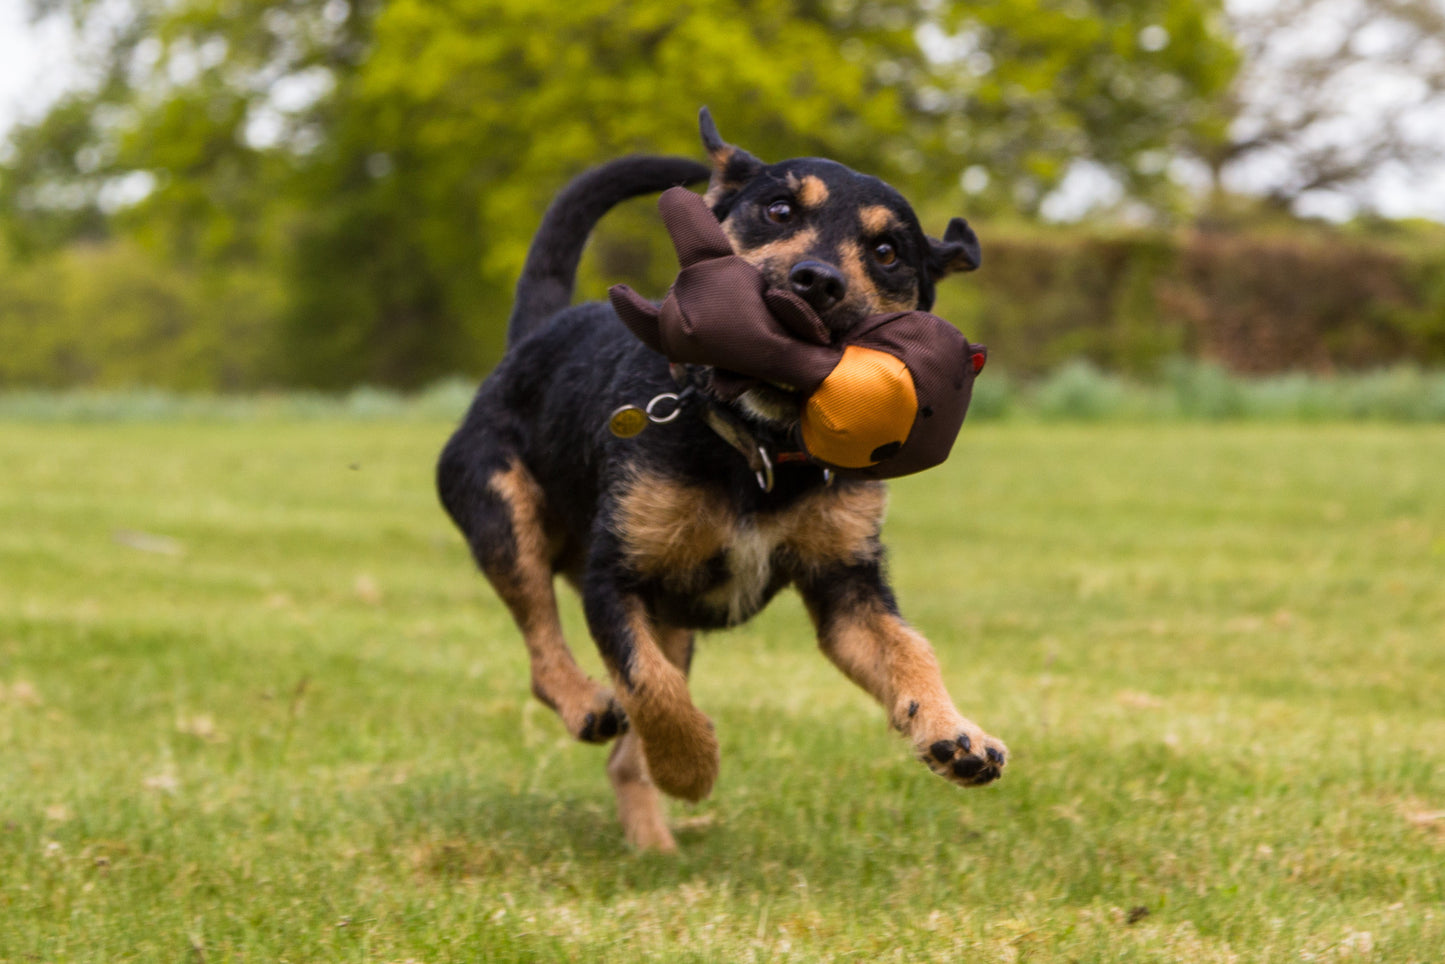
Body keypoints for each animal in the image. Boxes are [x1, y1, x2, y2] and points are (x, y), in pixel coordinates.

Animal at [433, 111, 1011, 849]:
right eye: (779, 209)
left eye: (886, 251)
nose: (816, 281)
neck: (757, 446)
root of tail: (531, 339)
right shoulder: (614, 577)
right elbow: (648, 685)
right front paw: (690, 767)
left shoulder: (846, 585)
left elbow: (910, 650)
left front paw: (954, 733)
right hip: (501, 514)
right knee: (544, 648)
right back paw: (589, 708)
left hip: (671, 620)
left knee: (623, 754)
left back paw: (653, 847)